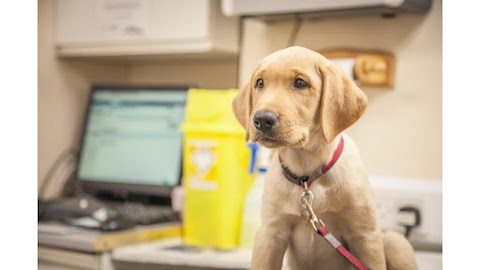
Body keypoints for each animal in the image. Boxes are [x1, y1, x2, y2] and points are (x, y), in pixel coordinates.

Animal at [232, 47, 416, 270]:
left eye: (300, 83)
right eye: (260, 83)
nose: (262, 120)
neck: (307, 174)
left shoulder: (366, 236)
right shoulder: (270, 234)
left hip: (394, 241)